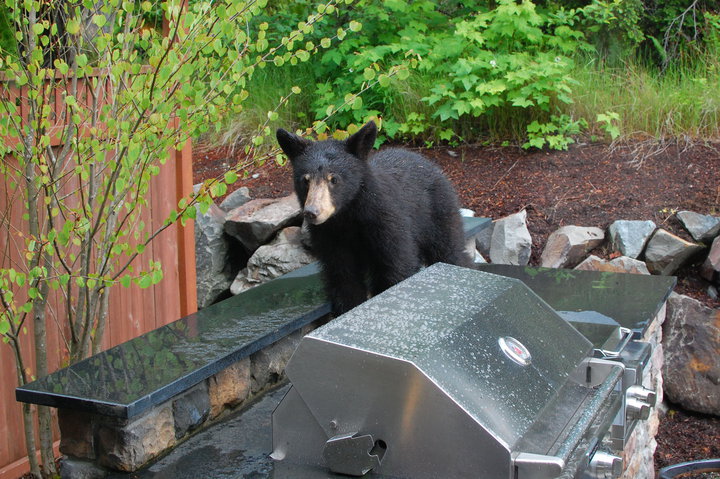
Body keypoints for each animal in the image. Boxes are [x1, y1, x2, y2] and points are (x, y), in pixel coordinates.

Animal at [276, 120, 471, 316]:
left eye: (334, 179)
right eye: (305, 180)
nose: (312, 212)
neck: (347, 217)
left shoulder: (387, 221)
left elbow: (398, 265)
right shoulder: (330, 237)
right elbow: (343, 278)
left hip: (437, 212)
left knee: (449, 251)